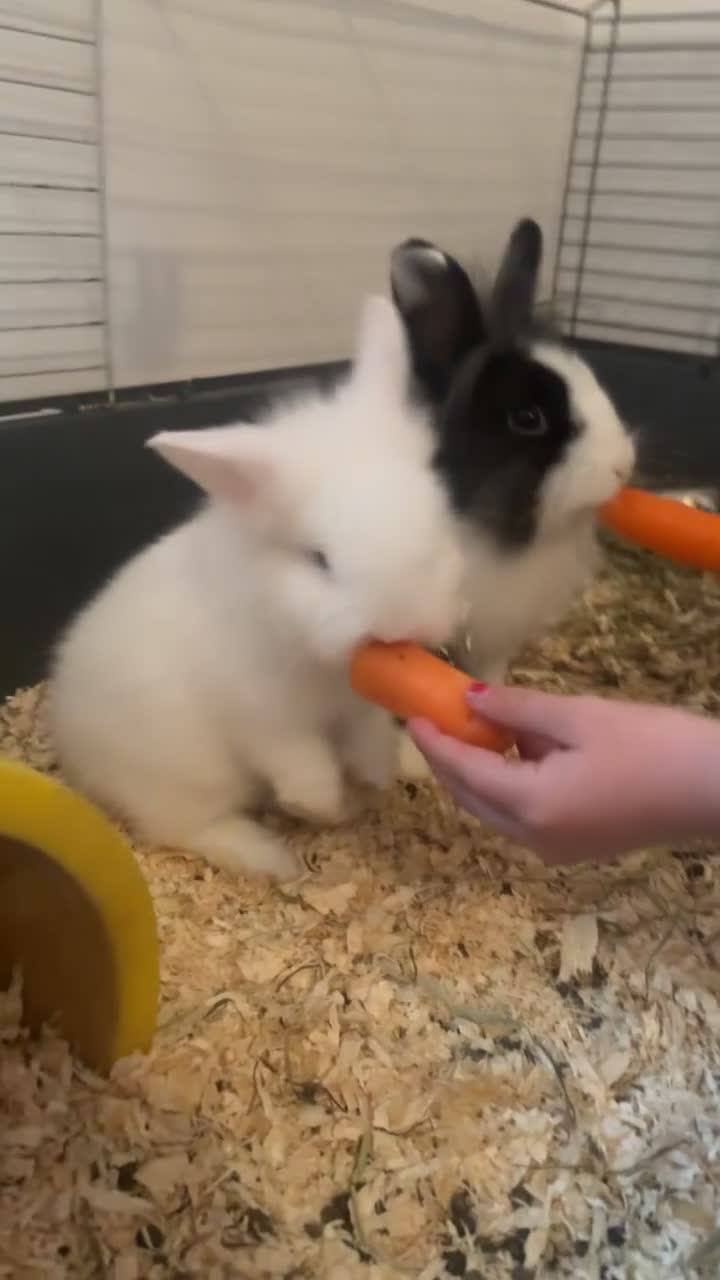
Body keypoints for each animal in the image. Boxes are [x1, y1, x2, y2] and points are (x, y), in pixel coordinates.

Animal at [47, 296, 466, 881]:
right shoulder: (263, 717)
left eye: (437, 518)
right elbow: (302, 765)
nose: (404, 624)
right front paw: (326, 806)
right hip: (185, 777)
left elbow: (368, 736)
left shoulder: (355, 708)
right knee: (183, 827)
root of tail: (67, 738)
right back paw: (270, 856)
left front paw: (379, 772)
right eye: (319, 559)